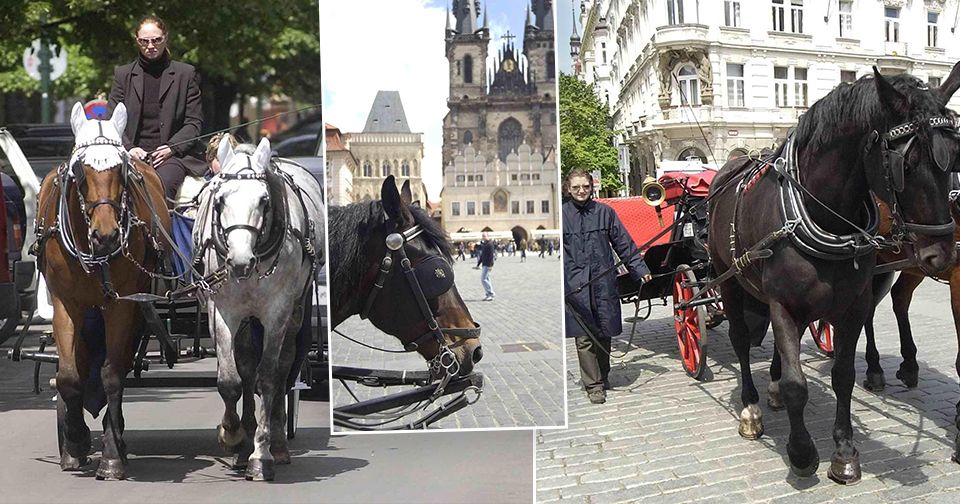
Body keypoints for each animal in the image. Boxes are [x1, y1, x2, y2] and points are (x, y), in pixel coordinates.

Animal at [36, 103, 172, 480]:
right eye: (79, 169)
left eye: (121, 167)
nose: (107, 235)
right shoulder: (65, 303)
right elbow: (69, 376)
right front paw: (75, 444)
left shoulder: (122, 304)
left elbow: (111, 374)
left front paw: (112, 456)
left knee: (119, 366)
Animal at [193, 138, 324, 480]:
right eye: (220, 200)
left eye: (264, 201)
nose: (240, 262)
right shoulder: (222, 311)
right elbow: (231, 380)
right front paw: (232, 436)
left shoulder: (276, 312)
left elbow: (269, 379)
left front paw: (260, 455)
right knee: (247, 366)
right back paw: (244, 441)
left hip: (293, 313)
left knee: (281, 368)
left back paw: (276, 443)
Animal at [708, 68, 960, 484]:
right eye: (904, 166)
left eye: (952, 159)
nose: (942, 252)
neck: (821, 213)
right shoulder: (782, 302)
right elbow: (797, 384)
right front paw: (802, 453)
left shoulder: (850, 305)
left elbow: (842, 375)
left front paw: (843, 452)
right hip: (727, 276)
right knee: (742, 341)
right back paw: (751, 409)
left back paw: (773, 388)